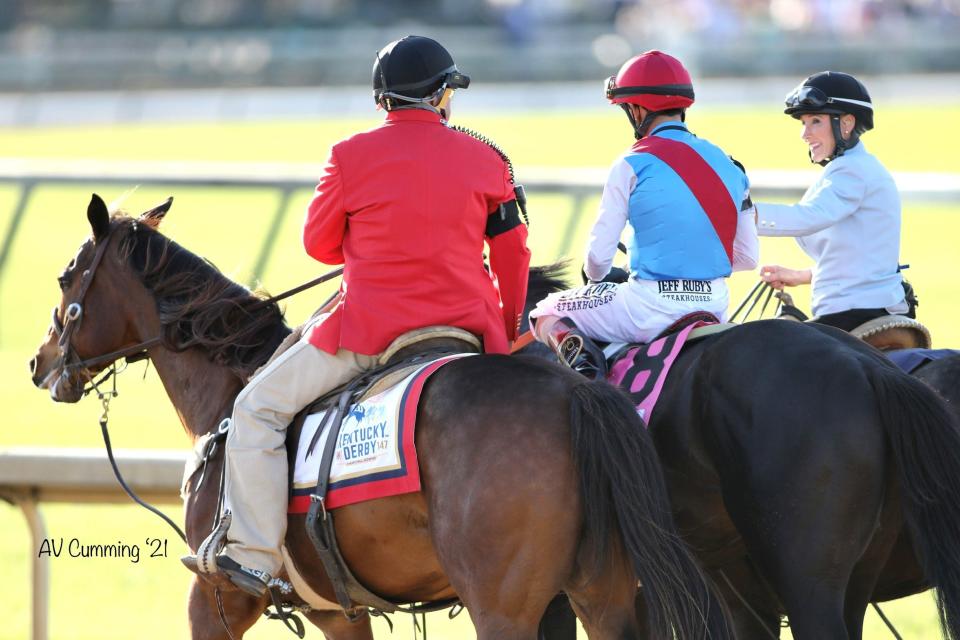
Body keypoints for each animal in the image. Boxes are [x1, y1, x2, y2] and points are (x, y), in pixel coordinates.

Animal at [30, 196, 736, 640]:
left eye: (66, 277)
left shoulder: (218, 598)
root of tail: (571, 392)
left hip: (506, 609)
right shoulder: (342, 614)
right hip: (603, 595)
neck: (233, 391)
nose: (39, 363)